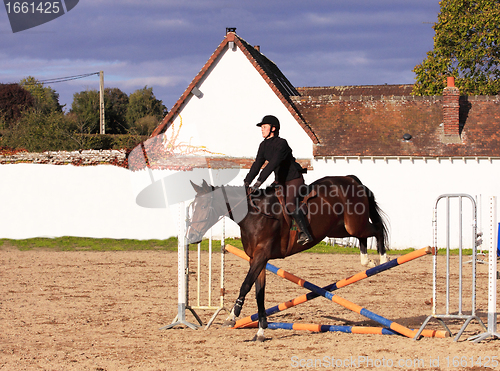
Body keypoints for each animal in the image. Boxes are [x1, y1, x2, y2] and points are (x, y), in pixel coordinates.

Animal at [187, 176, 386, 342]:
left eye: (203, 207)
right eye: (193, 207)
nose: (192, 236)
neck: (254, 215)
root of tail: (351, 180)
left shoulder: (261, 256)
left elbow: (245, 285)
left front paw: (231, 317)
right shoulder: (257, 260)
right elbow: (259, 293)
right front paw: (261, 331)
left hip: (352, 225)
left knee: (377, 229)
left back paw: (383, 260)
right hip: (340, 228)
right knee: (363, 235)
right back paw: (368, 262)